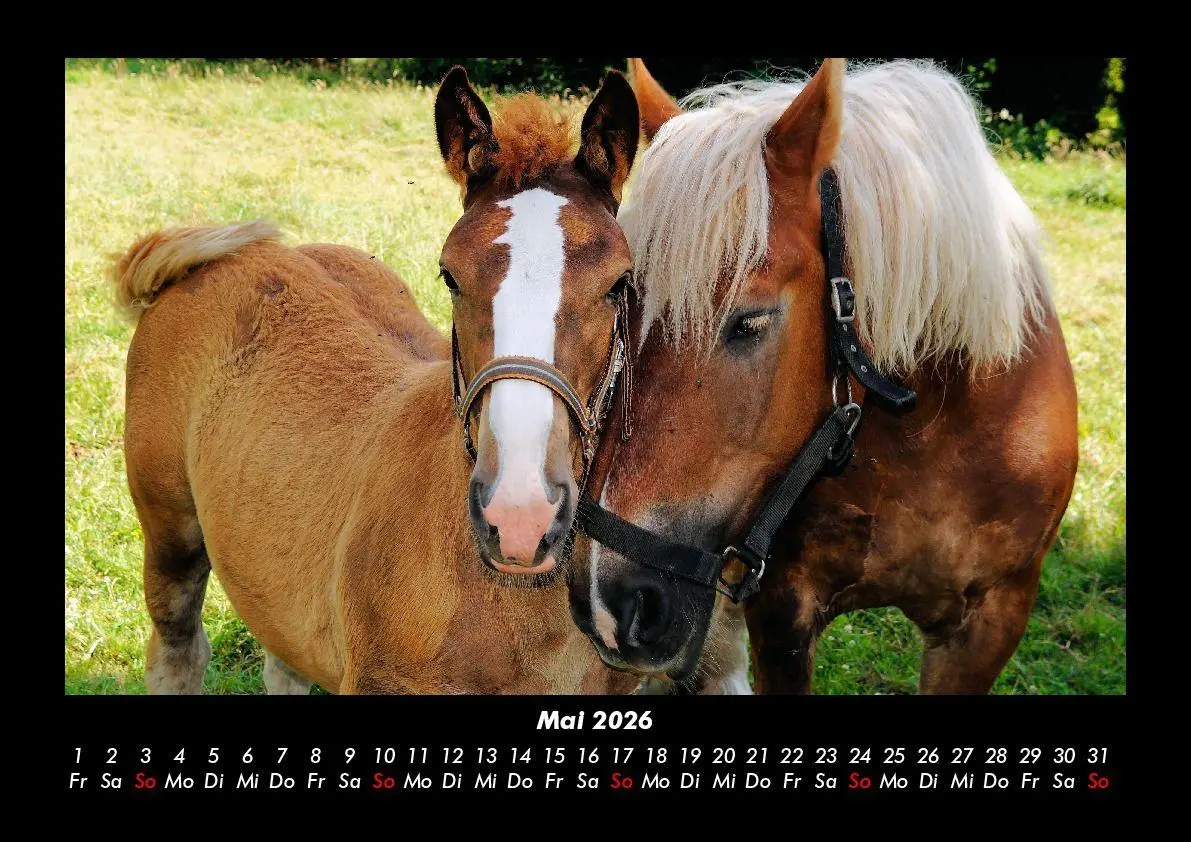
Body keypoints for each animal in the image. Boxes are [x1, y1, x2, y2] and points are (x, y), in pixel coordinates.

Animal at [114, 67, 645, 694]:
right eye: (449, 275)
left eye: (619, 282)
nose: (520, 516)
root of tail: (207, 261)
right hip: (168, 531)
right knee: (178, 648)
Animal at [569, 57, 1078, 694]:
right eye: (620, 304)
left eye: (750, 322)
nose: (605, 603)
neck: (928, 428)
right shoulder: (782, 613)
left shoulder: (991, 622)